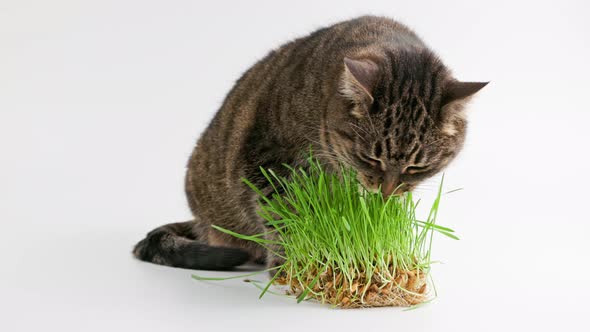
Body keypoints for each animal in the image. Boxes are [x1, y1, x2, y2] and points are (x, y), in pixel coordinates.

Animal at [135, 14, 490, 270]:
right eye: (371, 159)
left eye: (417, 167)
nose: (386, 191)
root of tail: (199, 220)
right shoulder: (265, 161)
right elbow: (283, 218)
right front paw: (292, 264)